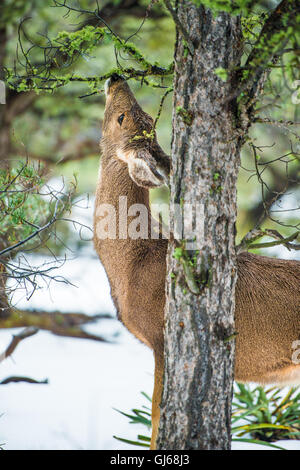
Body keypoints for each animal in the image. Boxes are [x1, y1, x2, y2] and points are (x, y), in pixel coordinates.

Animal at [94, 74, 300, 452]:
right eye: (144, 118)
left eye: (122, 117)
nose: (116, 77)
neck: (134, 262)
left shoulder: (161, 338)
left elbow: (157, 420)